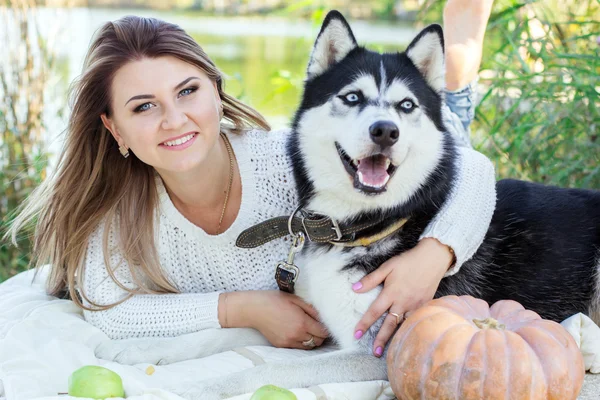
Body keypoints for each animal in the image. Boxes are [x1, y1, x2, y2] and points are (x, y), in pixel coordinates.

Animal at [98, 10, 600, 398]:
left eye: (406, 106)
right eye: (353, 97)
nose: (385, 131)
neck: (360, 226)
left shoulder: (377, 351)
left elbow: (266, 367)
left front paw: (198, 386)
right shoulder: (312, 320)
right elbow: (225, 332)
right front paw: (146, 350)